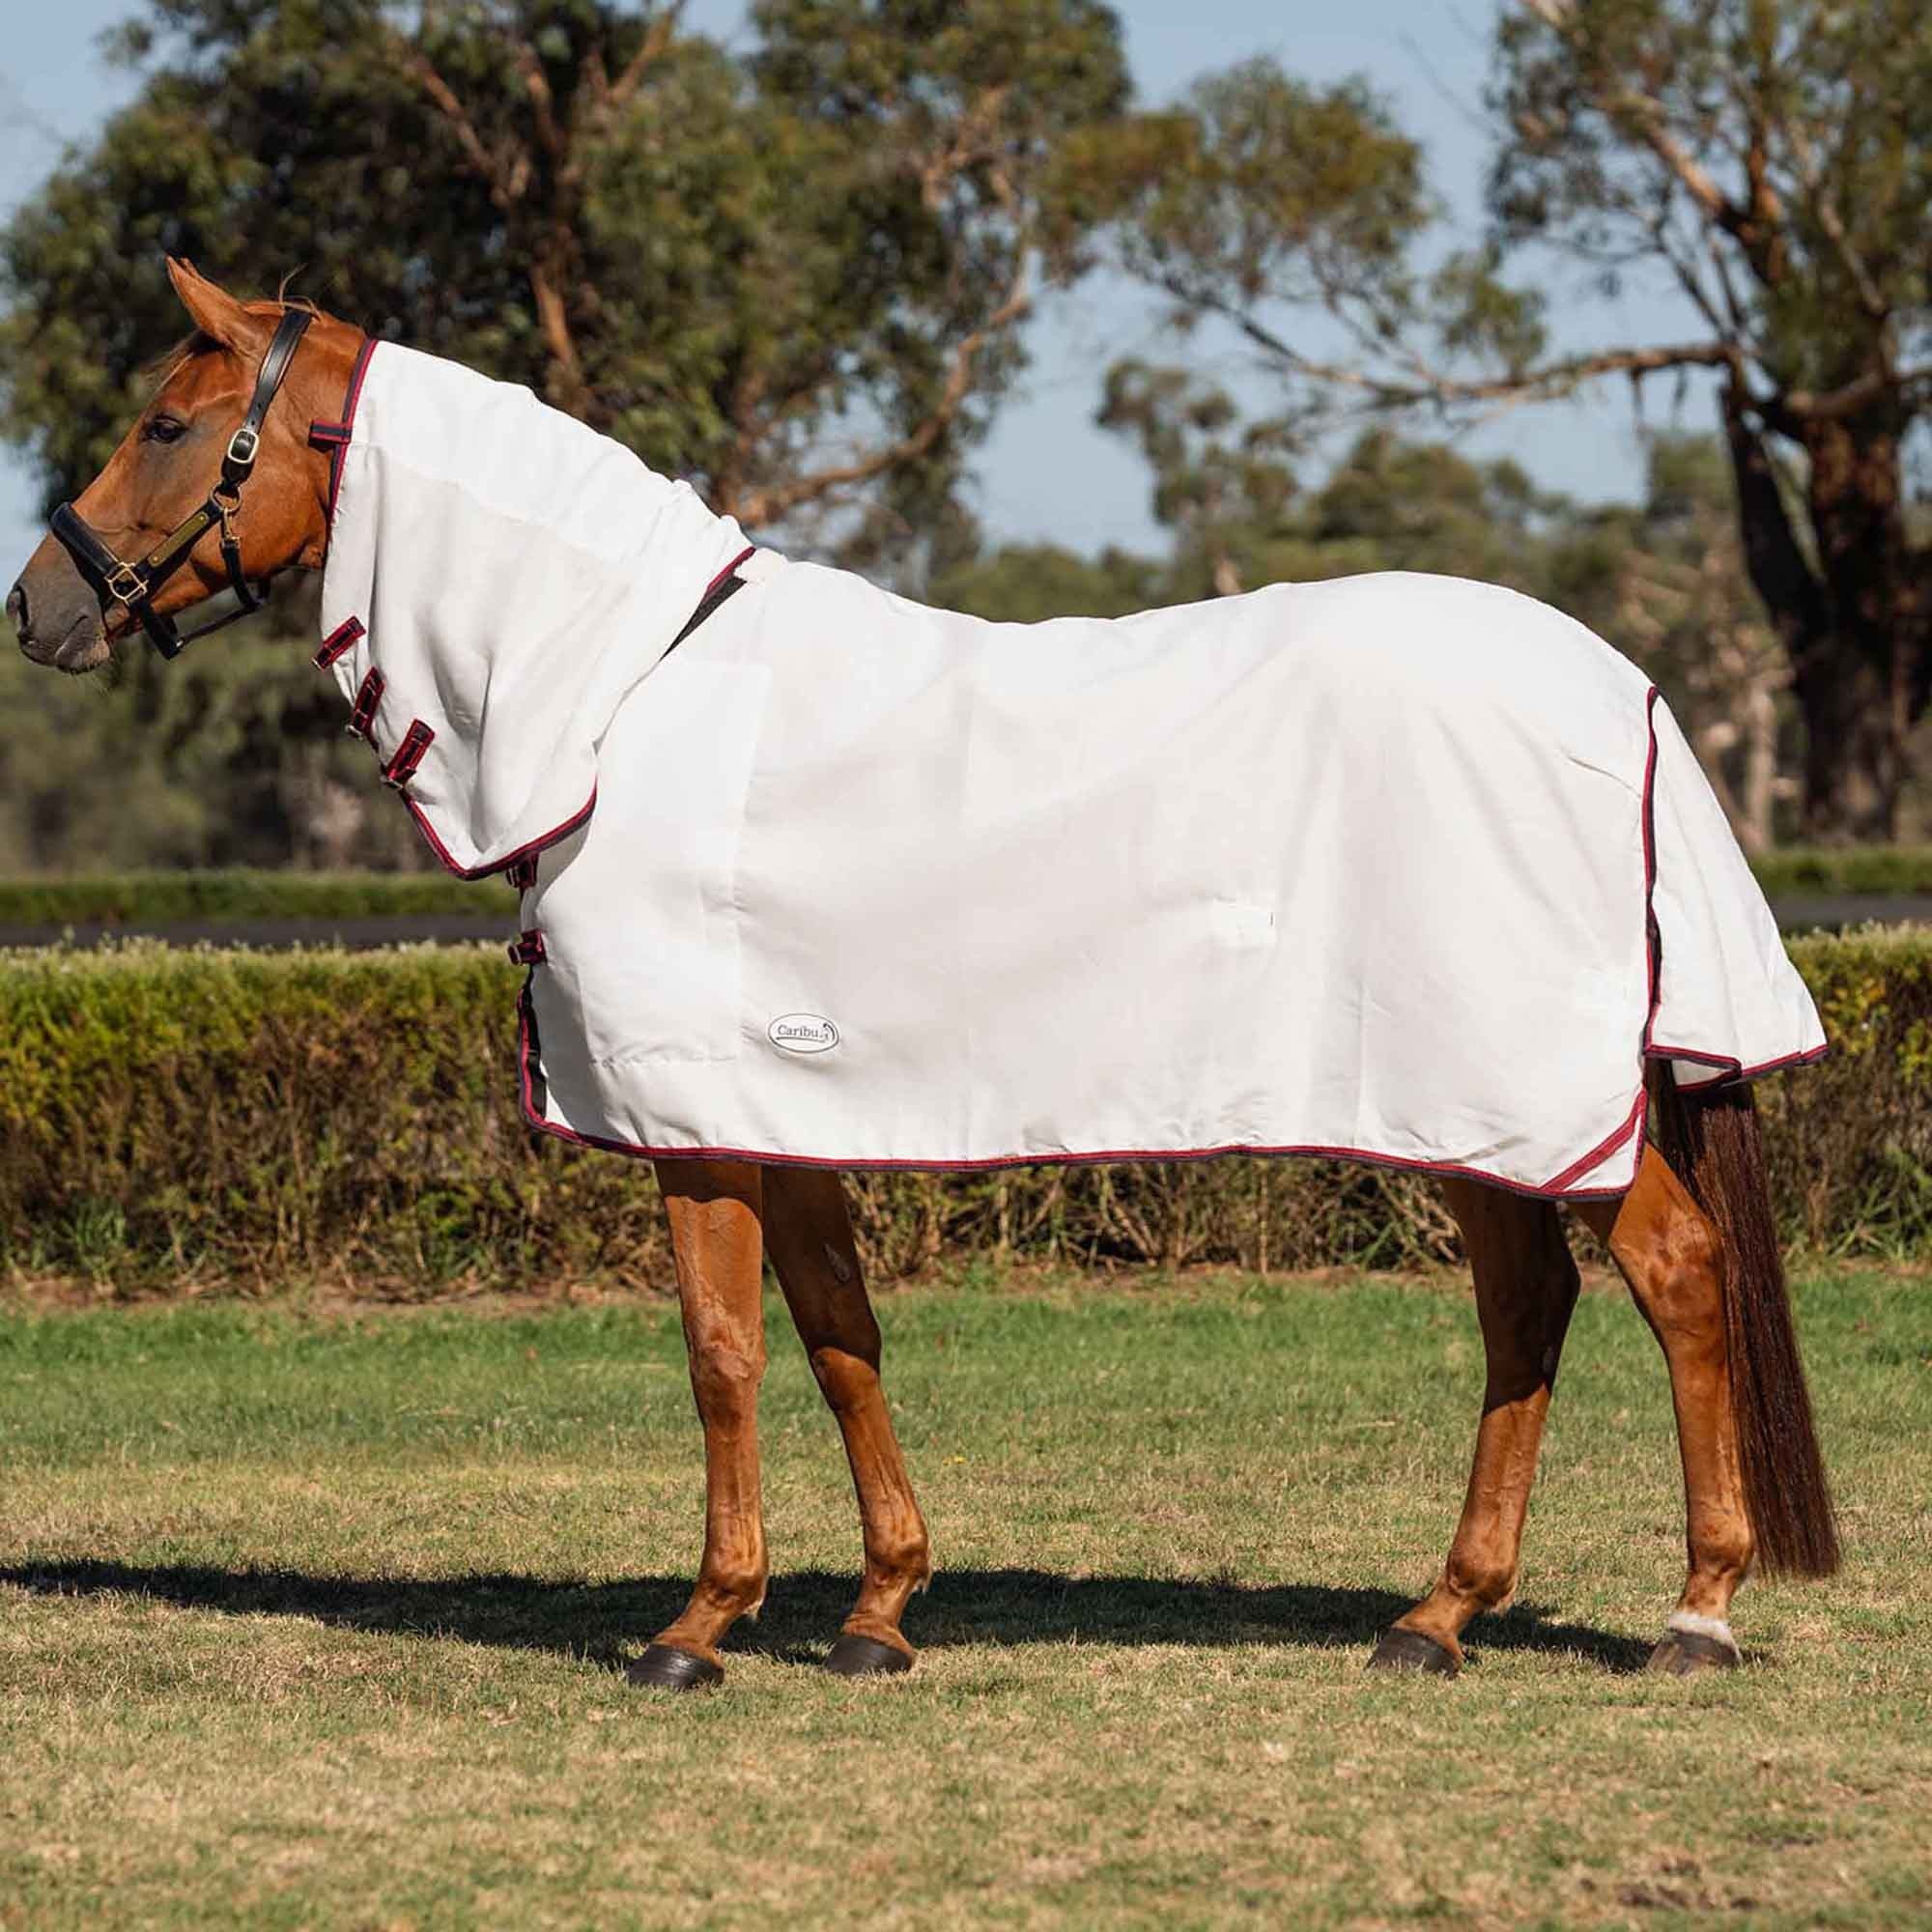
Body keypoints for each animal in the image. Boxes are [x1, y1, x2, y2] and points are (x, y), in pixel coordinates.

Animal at [7, 261, 1839, 1691]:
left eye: (166, 423)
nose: (37, 610)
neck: (620, 701)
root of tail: (1624, 689)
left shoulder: (693, 1120)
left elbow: (724, 1355)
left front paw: (699, 1626)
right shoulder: (786, 1108)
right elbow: (839, 1339)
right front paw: (880, 1611)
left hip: (1515, 1097)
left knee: (1672, 1276)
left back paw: (1693, 1612)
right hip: (1470, 1111)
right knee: (1528, 1308)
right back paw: (1439, 1616)